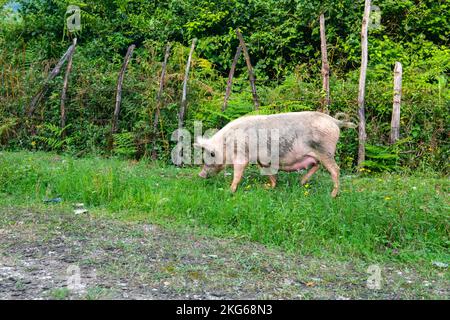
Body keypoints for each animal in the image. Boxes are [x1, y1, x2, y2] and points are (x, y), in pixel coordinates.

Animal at [195, 112, 356, 198]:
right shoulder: (261, 160)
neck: (227, 144)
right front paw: (270, 187)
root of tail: (334, 121)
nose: (200, 175)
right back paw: (302, 182)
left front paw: (230, 191)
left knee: (335, 170)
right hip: (316, 154)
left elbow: (238, 174)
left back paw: (332, 195)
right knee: (316, 165)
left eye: (210, 155)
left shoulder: (242, 156)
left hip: (325, 151)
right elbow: (268, 172)